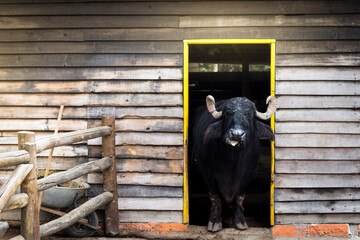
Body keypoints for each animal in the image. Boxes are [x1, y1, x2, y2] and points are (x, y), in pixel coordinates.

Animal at [191, 95, 276, 232]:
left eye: (249, 114)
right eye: (228, 113)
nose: (236, 135)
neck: (232, 160)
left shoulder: (248, 173)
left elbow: (239, 197)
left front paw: (240, 221)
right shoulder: (207, 172)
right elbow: (215, 197)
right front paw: (215, 221)